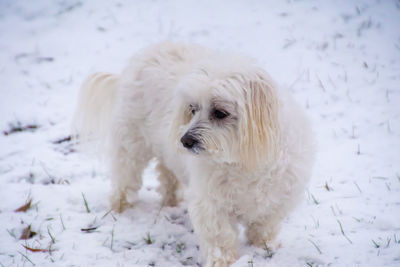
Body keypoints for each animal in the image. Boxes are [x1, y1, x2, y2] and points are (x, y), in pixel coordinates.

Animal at [73, 42, 314, 267]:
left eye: (220, 112)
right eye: (192, 108)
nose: (185, 141)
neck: (243, 162)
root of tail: (148, 52)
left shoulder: (277, 199)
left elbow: (264, 226)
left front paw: (264, 247)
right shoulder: (210, 202)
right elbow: (219, 236)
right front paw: (224, 261)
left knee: (167, 174)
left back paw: (171, 201)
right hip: (131, 145)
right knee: (125, 178)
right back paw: (120, 208)